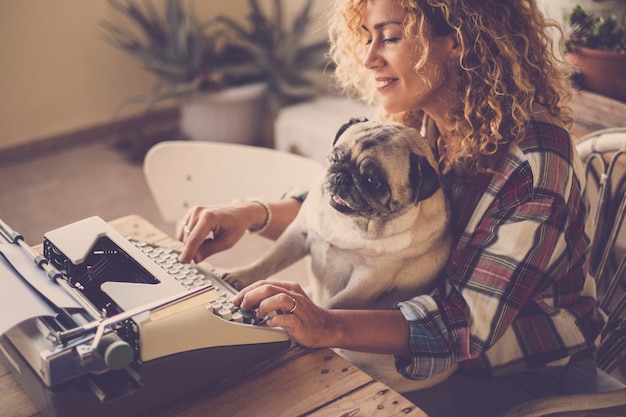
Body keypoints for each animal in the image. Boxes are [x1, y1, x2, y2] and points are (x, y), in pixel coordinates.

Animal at [224, 118, 454, 392]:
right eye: (336, 157)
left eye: (372, 180)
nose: (342, 176)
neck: (352, 224)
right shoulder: (300, 233)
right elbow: (270, 259)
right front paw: (241, 276)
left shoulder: (368, 280)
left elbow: (335, 304)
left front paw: (309, 316)